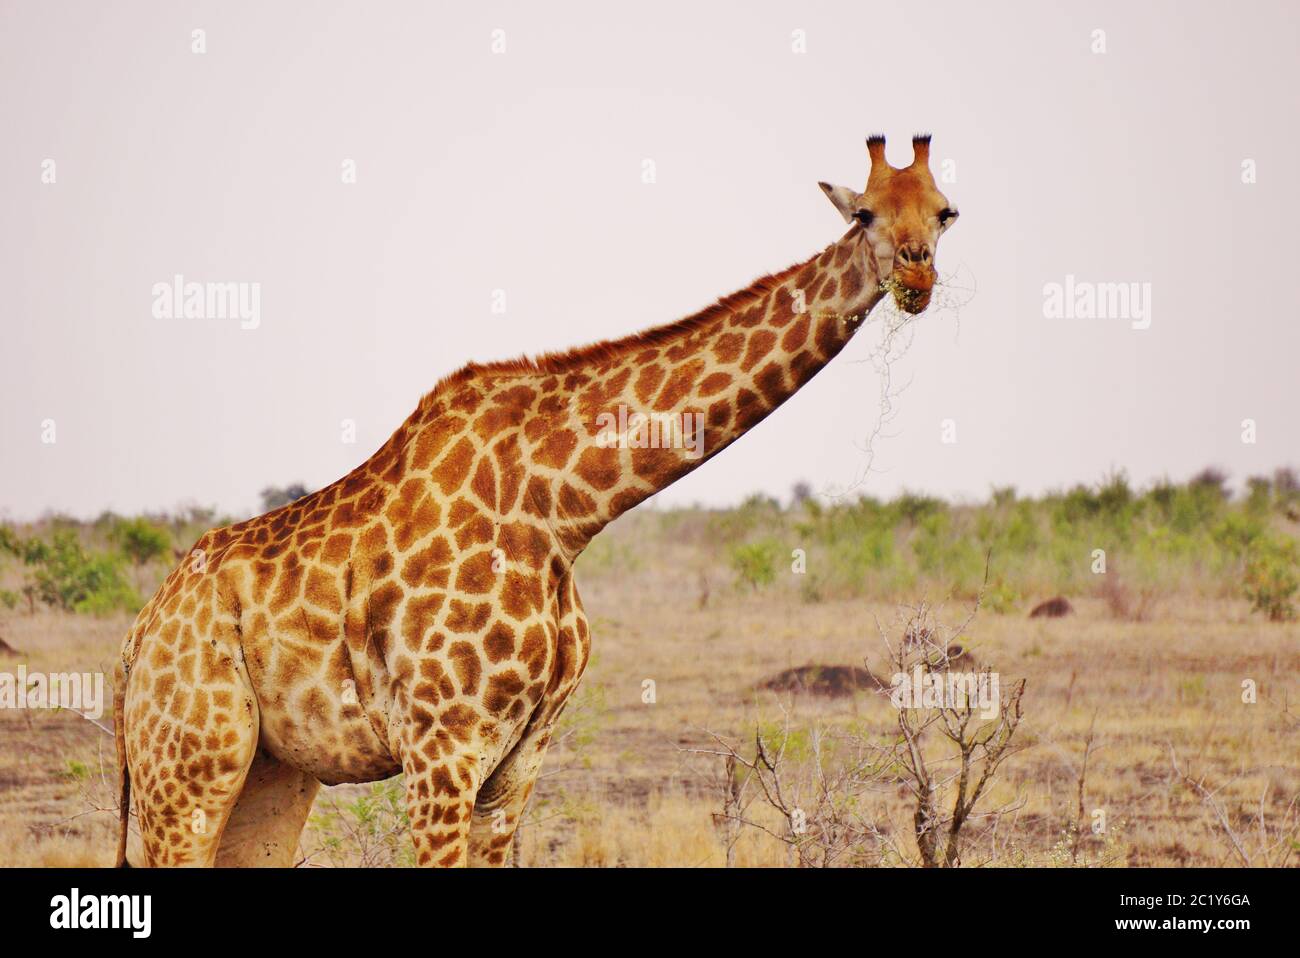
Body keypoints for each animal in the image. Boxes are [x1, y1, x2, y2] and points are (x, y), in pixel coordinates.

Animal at [116, 132, 961, 868]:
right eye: (865, 214)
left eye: (946, 212)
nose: (916, 279)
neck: (561, 509)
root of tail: (134, 644)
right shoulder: (441, 749)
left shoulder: (518, 760)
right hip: (188, 766)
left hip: (274, 770)